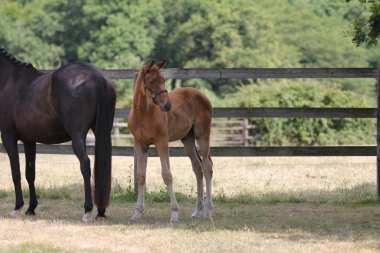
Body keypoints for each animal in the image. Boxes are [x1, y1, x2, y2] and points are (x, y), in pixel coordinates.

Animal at [0, 47, 116, 221]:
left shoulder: (8, 136)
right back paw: (101, 211)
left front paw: (17, 207)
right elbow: (30, 173)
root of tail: (95, 75)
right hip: (102, 132)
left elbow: (16, 173)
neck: (9, 79)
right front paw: (31, 208)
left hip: (77, 136)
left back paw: (87, 210)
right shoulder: (29, 140)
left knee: (85, 164)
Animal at [128, 59, 214, 221]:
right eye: (152, 81)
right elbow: (141, 175)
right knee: (197, 168)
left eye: (163, 79)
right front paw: (137, 212)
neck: (142, 113)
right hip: (188, 139)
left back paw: (207, 211)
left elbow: (167, 175)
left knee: (207, 167)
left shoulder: (162, 141)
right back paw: (197, 211)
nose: (167, 105)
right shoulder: (140, 143)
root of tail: (202, 95)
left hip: (202, 136)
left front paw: (174, 213)